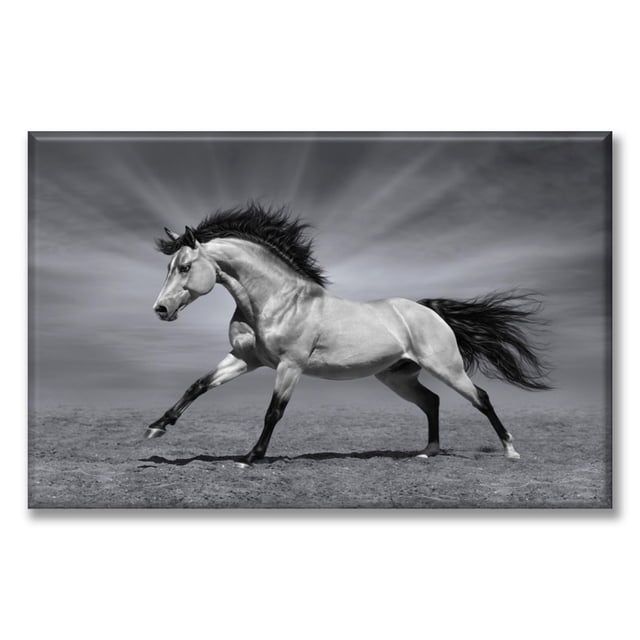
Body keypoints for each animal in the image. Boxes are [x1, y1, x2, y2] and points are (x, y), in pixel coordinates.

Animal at [146, 204, 550, 464]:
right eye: (169, 267)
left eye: (184, 267)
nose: (161, 310)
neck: (277, 300)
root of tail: (429, 311)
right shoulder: (246, 359)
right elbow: (198, 385)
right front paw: (156, 428)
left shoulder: (289, 367)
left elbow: (273, 412)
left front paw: (251, 457)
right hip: (397, 377)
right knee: (432, 401)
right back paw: (427, 452)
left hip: (447, 368)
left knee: (480, 398)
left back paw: (511, 451)